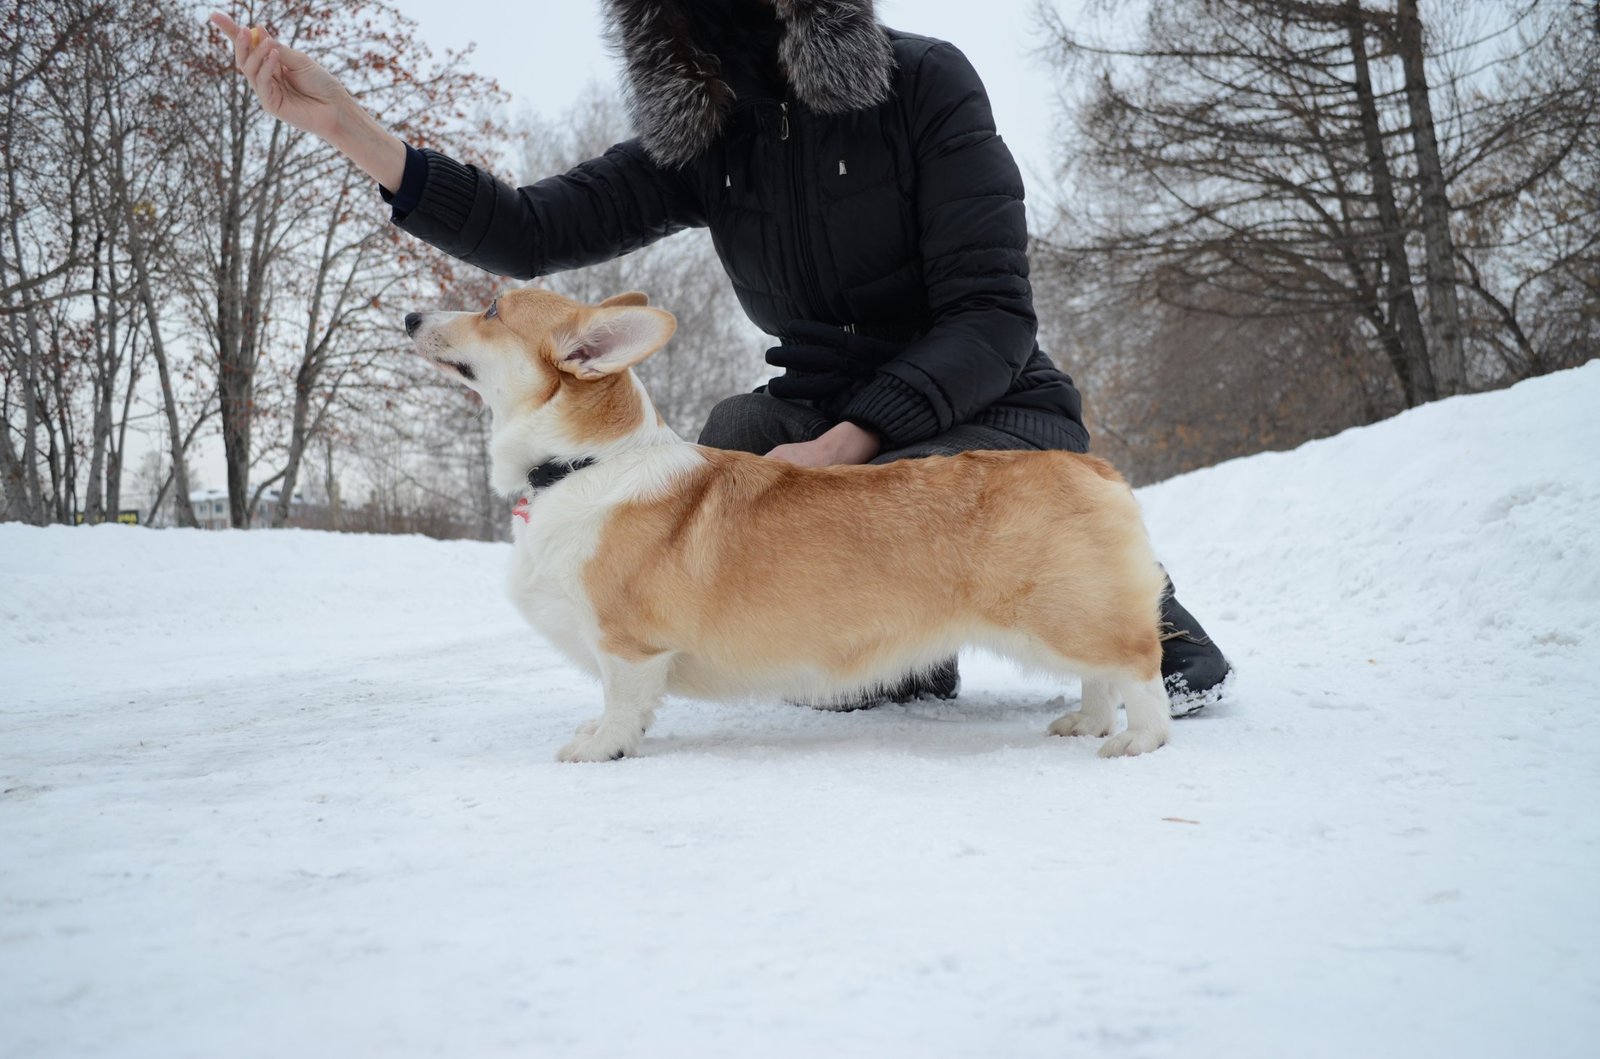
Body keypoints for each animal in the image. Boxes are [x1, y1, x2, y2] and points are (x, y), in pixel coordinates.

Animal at [406, 287, 1171, 764]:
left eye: (492, 307)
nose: (411, 315)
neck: (582, 465)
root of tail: (1093, 465)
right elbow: (619, 704)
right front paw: (599, 731)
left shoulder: (629, 644)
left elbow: (622, 703)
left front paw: (599, 747)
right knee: (1101, 678)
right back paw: (1086, 723)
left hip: (1062, 613)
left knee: (1138, 666)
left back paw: (1137, 740)